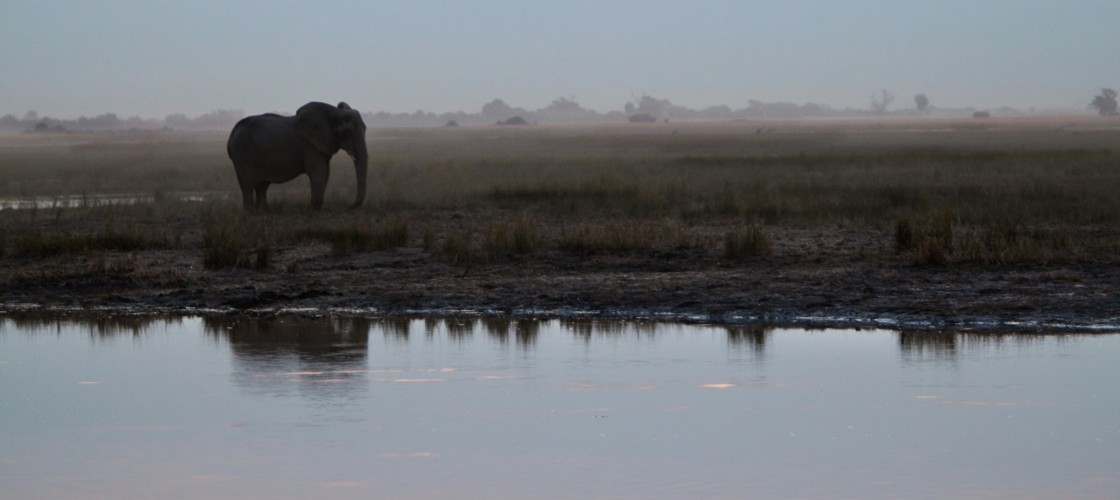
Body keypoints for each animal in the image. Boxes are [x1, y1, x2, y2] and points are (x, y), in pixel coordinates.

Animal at [227, 101, 368, 210]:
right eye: (347, 133)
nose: (348, 207)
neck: (334, 111)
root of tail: (232, 133)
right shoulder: (309, 144)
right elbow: (318, 173)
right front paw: (316, 208)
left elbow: (326, 173)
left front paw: (318, 207)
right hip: (241, 154)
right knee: (247, 185)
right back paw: (250, 212)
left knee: (262, 185)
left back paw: (263, 211)